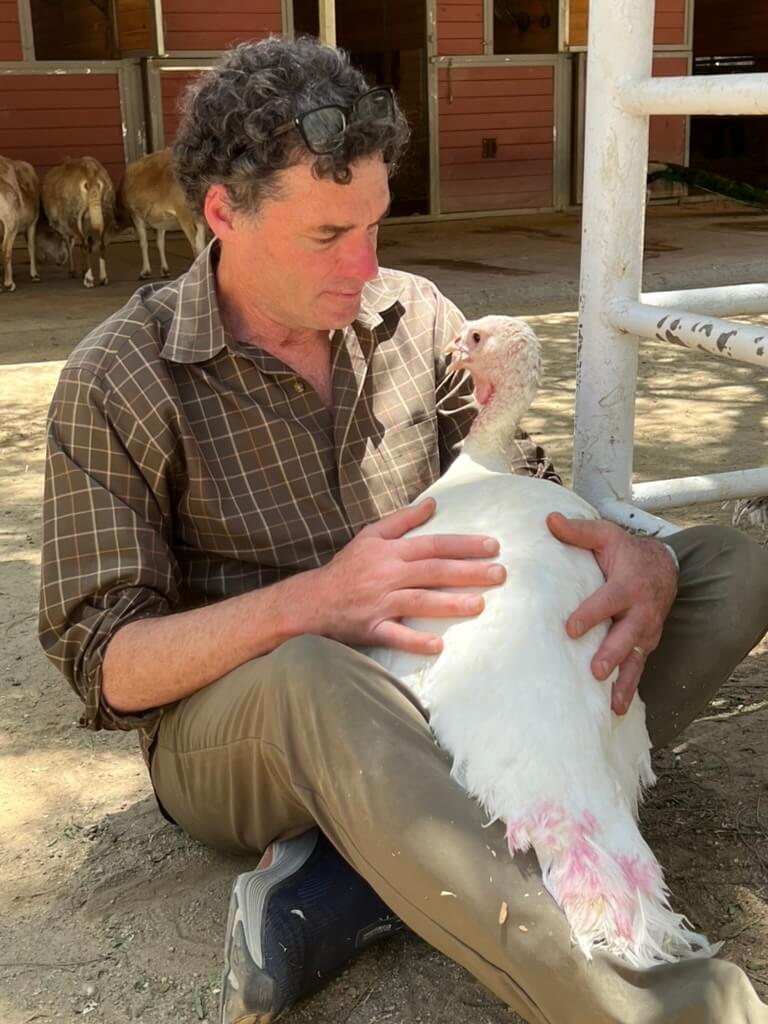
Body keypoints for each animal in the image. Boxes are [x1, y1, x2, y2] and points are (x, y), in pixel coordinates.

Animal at [0, 155, 41, 292]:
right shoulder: (32, 223)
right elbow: (31, 245)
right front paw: (34, 275)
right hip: (11, 225)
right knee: (6, 249)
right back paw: (9, 284)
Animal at [42, 157, 115, 290]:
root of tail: (90, 172)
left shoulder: (67, 224)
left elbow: (72, 244)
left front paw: (76, 273)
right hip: (106, 210)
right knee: (101, 244)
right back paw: (103, 279)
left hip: (74, 216)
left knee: (84, 245)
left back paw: (88, 280)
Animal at [118, 146, 207, 278]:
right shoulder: (162, 219)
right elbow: (160, 243)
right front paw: (165, 270)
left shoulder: (135, 214)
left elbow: (143, 242)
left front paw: (145, 271)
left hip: (184, 212)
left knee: (196, 242)